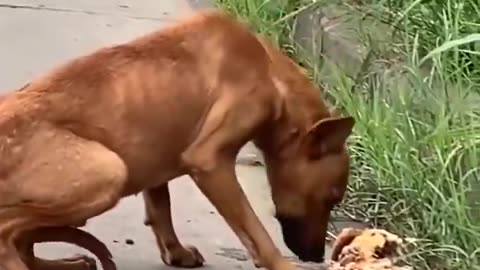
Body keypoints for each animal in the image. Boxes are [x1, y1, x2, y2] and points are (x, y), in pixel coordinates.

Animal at [0, 8, 352, 270]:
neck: (269, 70)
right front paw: (280, 263)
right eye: (331, 198)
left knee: (23, 240)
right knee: (6, 232)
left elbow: (161, 207)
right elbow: (255, 230)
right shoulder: (209, 161)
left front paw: (176, 252)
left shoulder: (154, 157)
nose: (316, 257)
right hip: (109, 172)